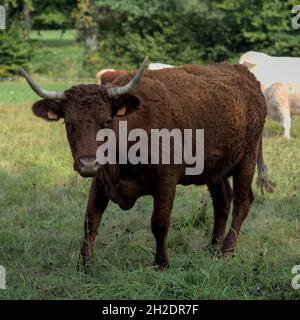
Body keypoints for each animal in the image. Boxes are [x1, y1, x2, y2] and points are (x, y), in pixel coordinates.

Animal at [19, 58, 274, 270]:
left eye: (107, 121)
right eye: (69, 123)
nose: (88, 164)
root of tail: (244, 73)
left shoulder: (166, 180)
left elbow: (159, 223)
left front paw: (161, 263)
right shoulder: (101, 180)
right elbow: (90, 221)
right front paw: (85, 264)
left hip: (247, 158)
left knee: (242, 201)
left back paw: (228, 249)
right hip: (215, 168)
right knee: (222, 201)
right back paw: (212, 248)